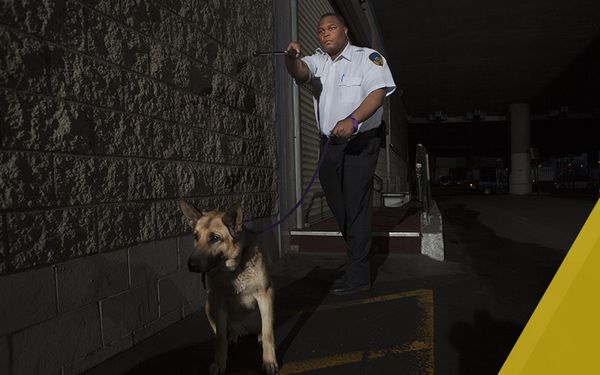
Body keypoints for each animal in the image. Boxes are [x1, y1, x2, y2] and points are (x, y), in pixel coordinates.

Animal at [179, 203, 280, 375]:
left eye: (214, 238)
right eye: (196, 236)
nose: (190, 265)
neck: (234, 268)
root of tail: (243, 328)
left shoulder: (265, 294)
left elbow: (268, 334)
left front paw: (269, 361)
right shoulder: (219, 301)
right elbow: (220, 339)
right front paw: (219, 363)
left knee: (264, 327)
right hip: (209, 303)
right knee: (224, 333)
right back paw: (231, 336)